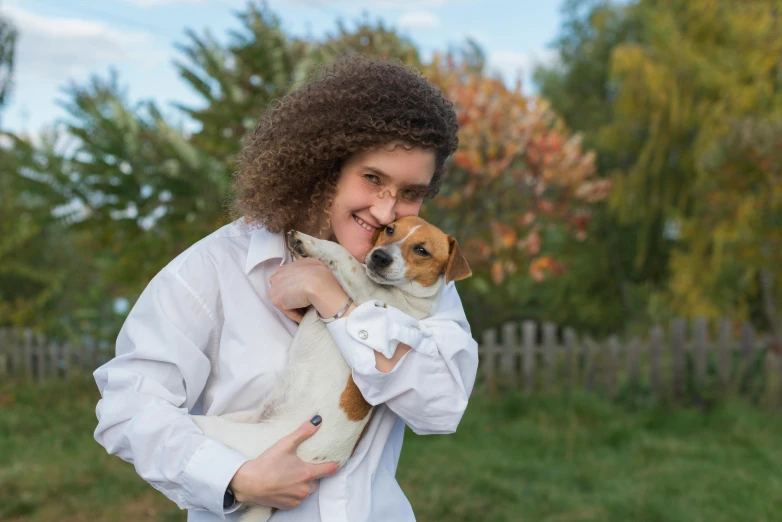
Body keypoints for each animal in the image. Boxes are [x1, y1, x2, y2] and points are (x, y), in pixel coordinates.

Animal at [191, 213, 472, 516]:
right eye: (389, 229)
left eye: (422, 250)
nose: (379, 256)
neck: (404, 296)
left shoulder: (370, 294)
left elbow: (344, 255)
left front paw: (308, 242)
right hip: (241, 417)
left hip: (230, 434)